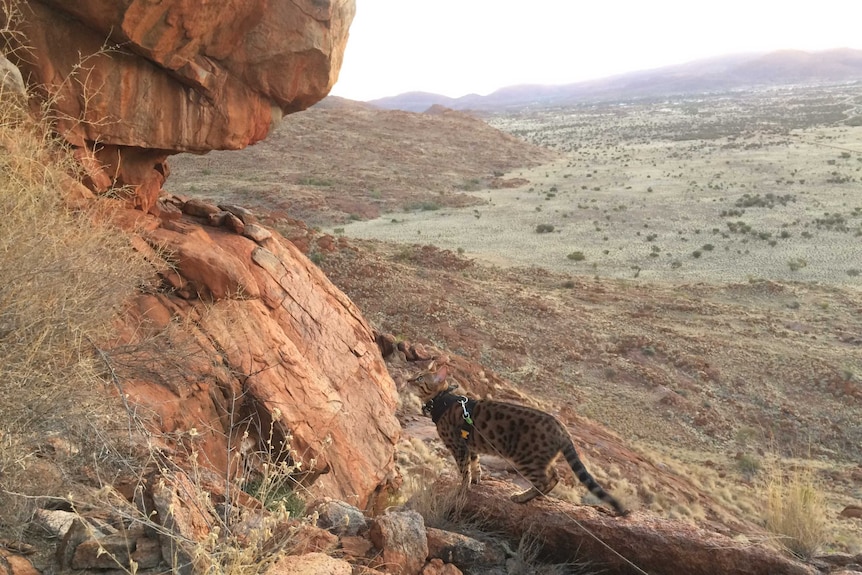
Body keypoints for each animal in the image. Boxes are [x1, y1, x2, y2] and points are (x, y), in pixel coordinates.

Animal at [412, 364, 628, 516]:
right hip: (540, 458)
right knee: (555, 475)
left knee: (545, 480)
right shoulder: (470, 446)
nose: (408, 379)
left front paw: (463, 488)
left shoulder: (458, 447)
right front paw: (477, 480)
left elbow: (464, 471)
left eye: (419, 377)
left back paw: (522, 497)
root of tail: (562, 428)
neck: (442, 399)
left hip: (526, 458)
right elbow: (476, 465)